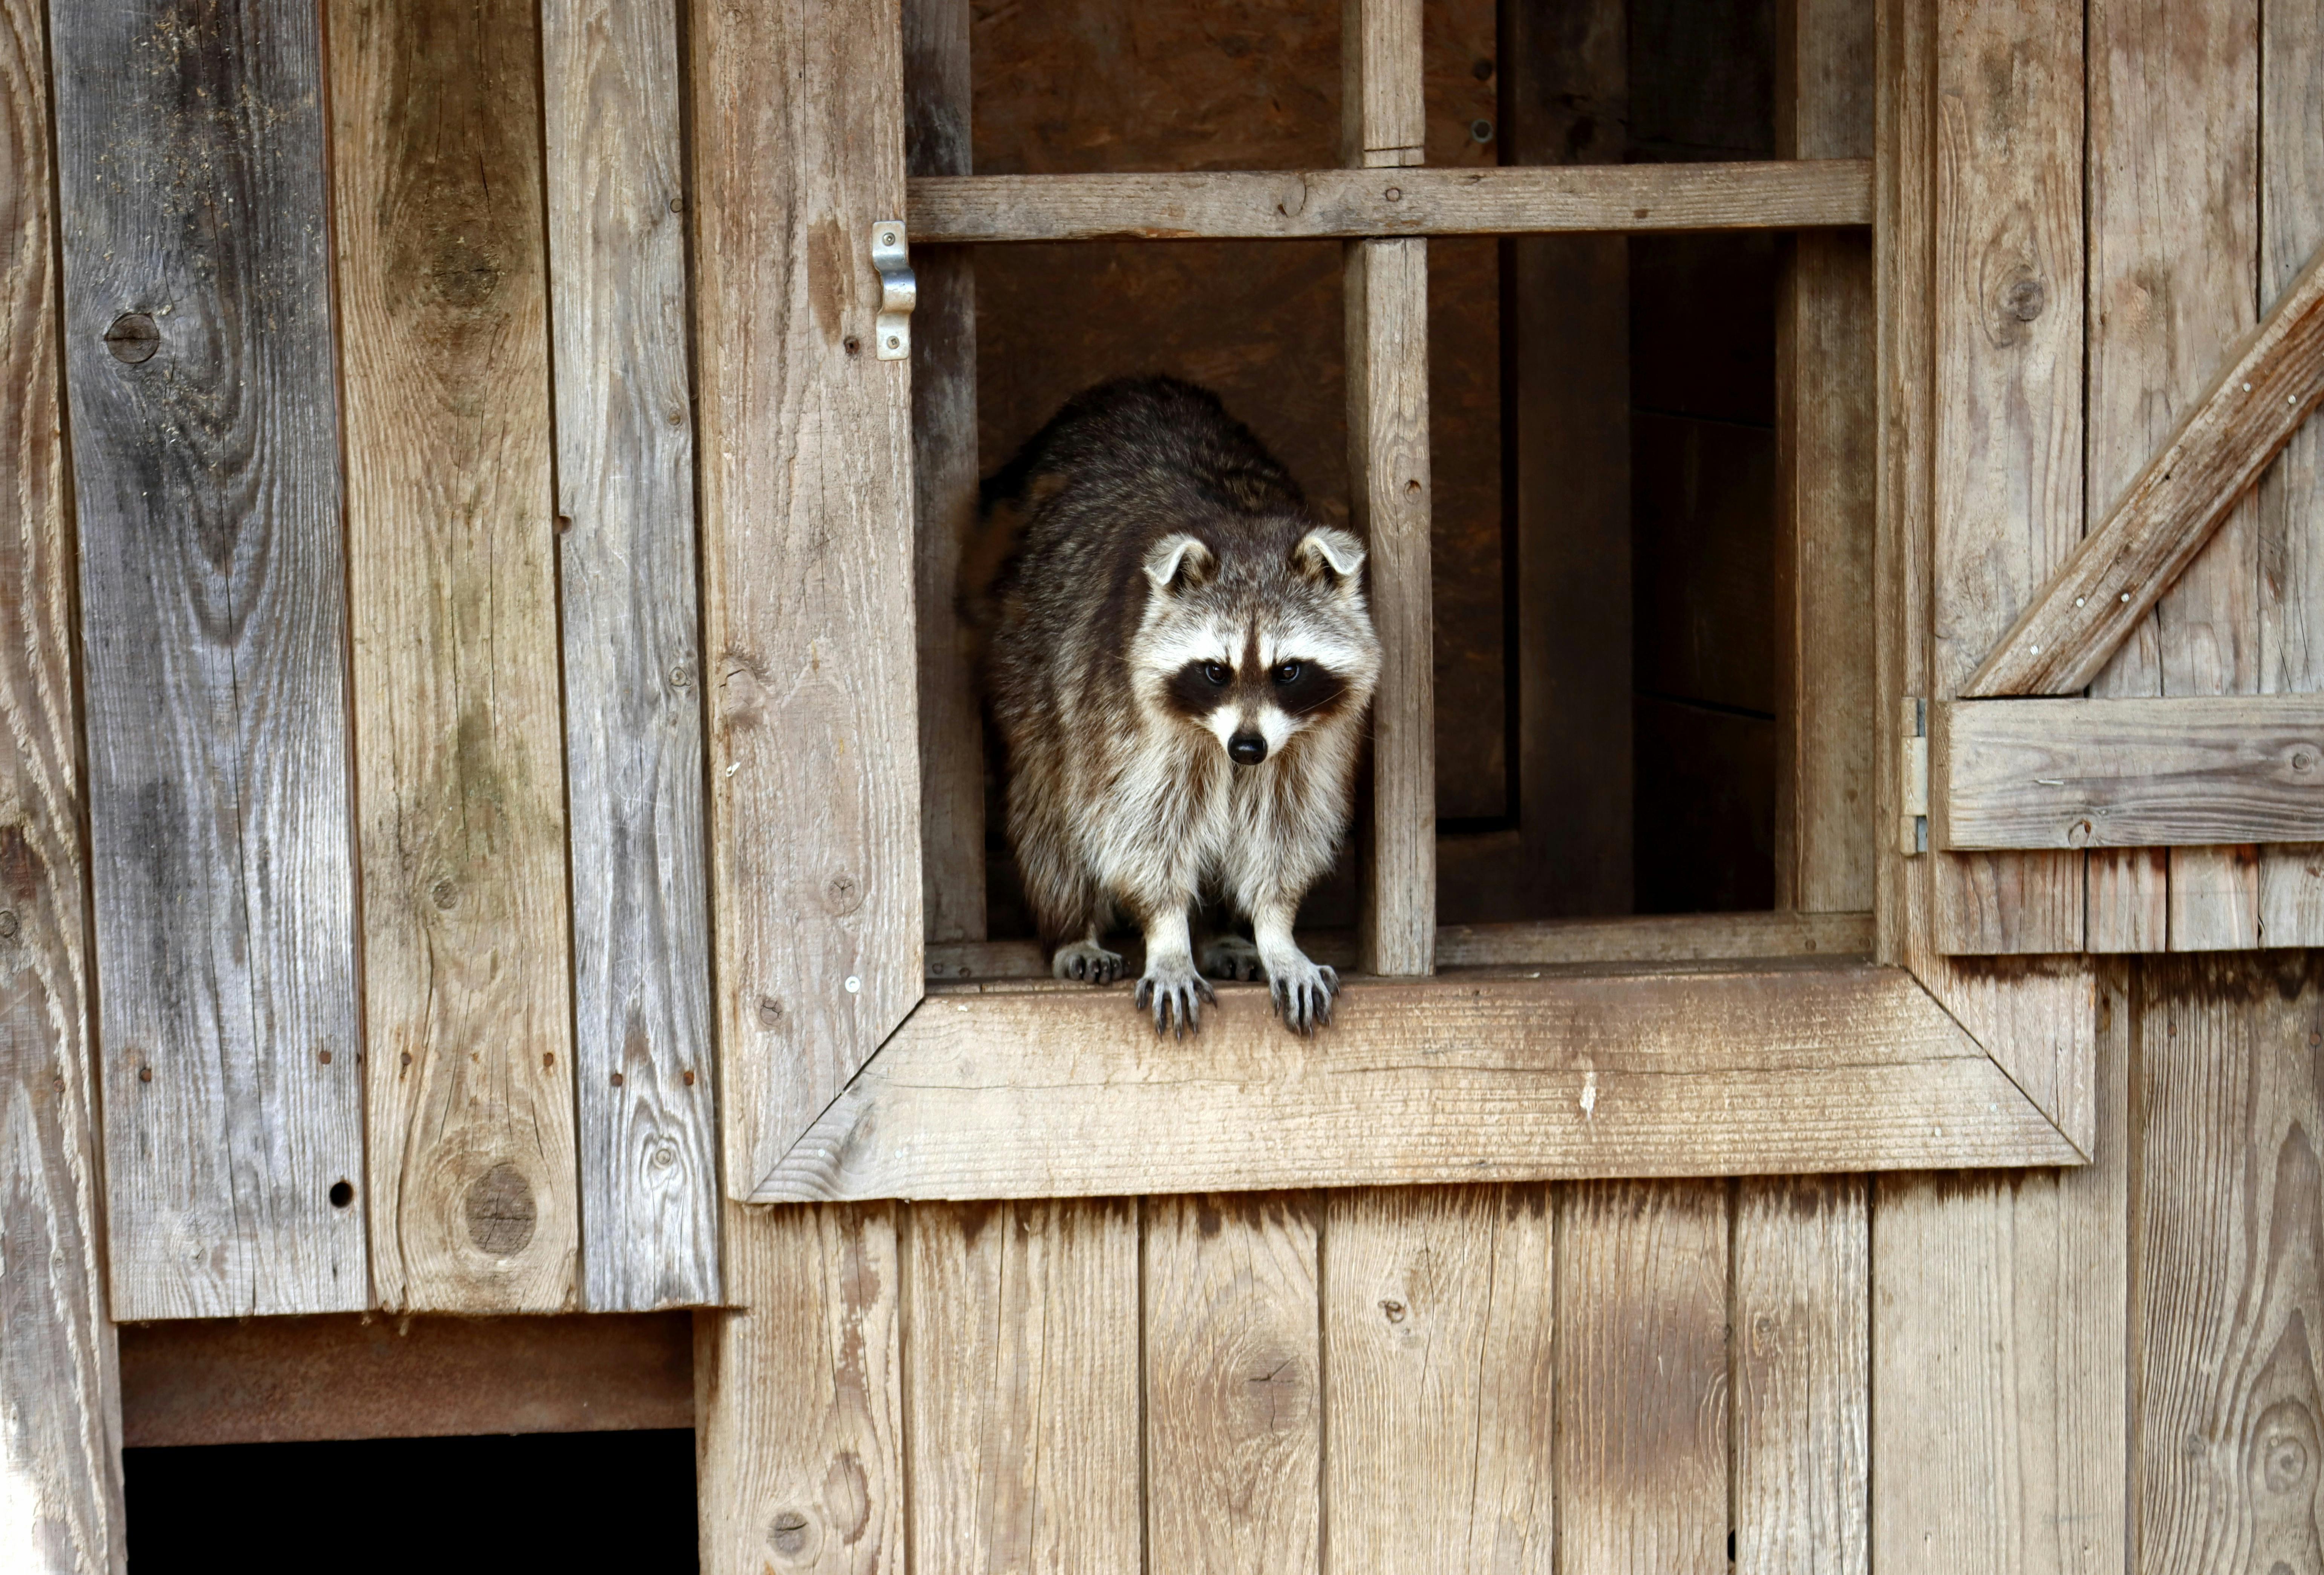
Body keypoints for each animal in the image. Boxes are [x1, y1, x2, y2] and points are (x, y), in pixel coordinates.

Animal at [977, 377, 1381, 1036]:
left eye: (1288, 671)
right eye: (1215, 671)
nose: (1247, 747)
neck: (1243, 528)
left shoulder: (1310, 738)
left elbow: (1284, 824)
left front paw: (1275, 930)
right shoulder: (1120, 704)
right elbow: (1140, 826)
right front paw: (1167, 937)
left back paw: (1223, 932)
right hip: (1027, 668)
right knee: (1050, 808)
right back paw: (1071, 927)